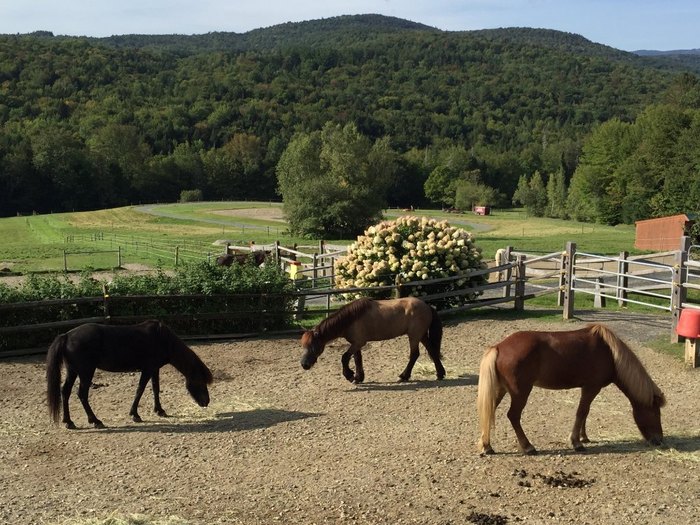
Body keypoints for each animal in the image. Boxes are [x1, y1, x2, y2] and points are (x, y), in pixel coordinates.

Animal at [46, 320, 212, 426]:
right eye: (200, 381)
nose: (206, 402)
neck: (163, 339)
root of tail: (66, 336)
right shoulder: (147, 369)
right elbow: (140, 390)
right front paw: (135, 414)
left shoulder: (154, 369)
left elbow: (156, 389)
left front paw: (160, 411)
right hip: (86, 372)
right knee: (82, 394)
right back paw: (95, 421)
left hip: (73, 371)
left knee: (65, 392)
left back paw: (69, 422)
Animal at [300, 296, 442, 382]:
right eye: (303, 346)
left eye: (314, 346)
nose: (304, 364)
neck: (352, 318)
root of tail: (427, 306)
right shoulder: (356, 343)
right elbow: (357, 359)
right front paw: (359, 377)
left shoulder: (358, 343)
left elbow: (344, 357)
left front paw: (349, 375)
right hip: (421, 336)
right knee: (433, 351)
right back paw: (440, 374)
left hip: (414, 336)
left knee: (414, 355)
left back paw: (404, 376)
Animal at [476, 322, 668, 452]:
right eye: (655, 412)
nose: (659, 440)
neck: (610, 354)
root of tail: (498, 347)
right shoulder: (591, 387)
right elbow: (581, 412)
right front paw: (576, 442)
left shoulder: (587, 388)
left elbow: (585, 412)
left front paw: (584, 437)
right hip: (520, 392)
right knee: (513, 416)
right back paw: (528, 446)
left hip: (501, 389)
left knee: (489, 410)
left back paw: (486, 446)